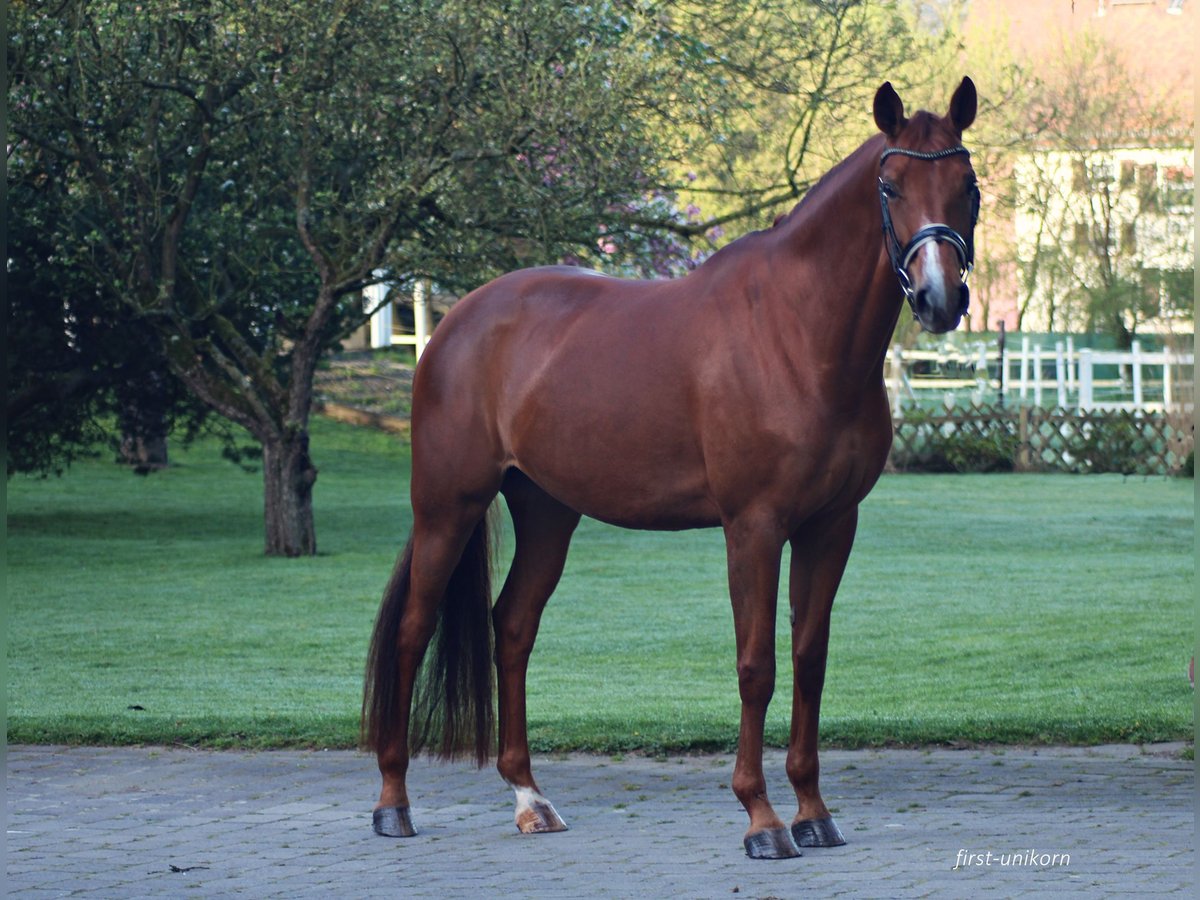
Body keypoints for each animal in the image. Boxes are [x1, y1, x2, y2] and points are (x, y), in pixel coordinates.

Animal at [362, 79, 974, 859]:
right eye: (891, 187)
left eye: (968, 185)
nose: (939, 298)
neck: (795, 333)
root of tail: (454, 324)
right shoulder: (753, 528)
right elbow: (757, 665)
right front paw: (762, 818)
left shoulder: (832, 525)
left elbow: (809, 660)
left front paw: (813, 811)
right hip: (448, 505)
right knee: (413, 632)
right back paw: (393, 803)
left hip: (547, 512)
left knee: (513, 627)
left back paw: (530, 797)